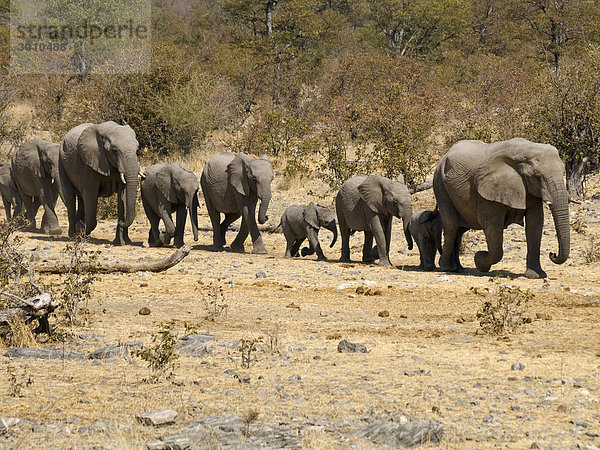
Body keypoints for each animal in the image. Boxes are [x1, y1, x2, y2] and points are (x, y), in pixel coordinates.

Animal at [434, 138, 568, 278]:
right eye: (537, 177)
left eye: (563, 173)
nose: (552, 254)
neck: (524, 150)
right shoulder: (487, 191)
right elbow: (492, 226)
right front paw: (479, 259)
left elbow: (535, 224)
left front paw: (536, 275)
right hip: (440, 185)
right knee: (452, 226)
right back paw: (448, 268)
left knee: (460, 230)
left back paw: (458, 268)